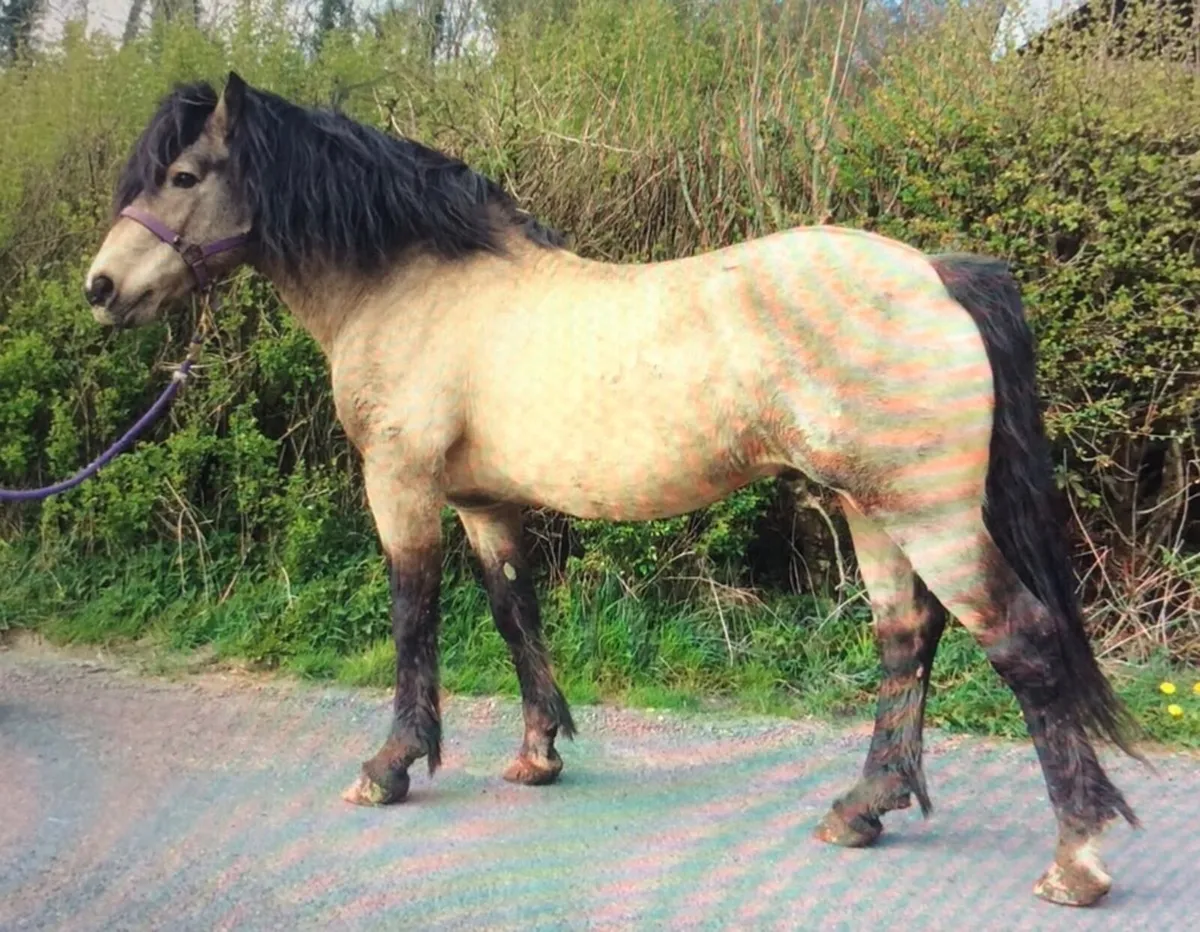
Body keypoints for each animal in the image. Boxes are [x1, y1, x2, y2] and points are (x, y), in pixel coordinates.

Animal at [84, 71, 1144, 908]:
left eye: (184, 177)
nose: (100, 289)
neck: (416, 286)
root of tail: (932, 273)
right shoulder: (484, 502)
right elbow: (515, 613)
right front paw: (537, 755)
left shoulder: (402, 485)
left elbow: (413, 615)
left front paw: (391, 768)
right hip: (870, 512)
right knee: (906, 638)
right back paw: (861, 809)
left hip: (929, 517)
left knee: (1023, 641)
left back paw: (1075, 860)